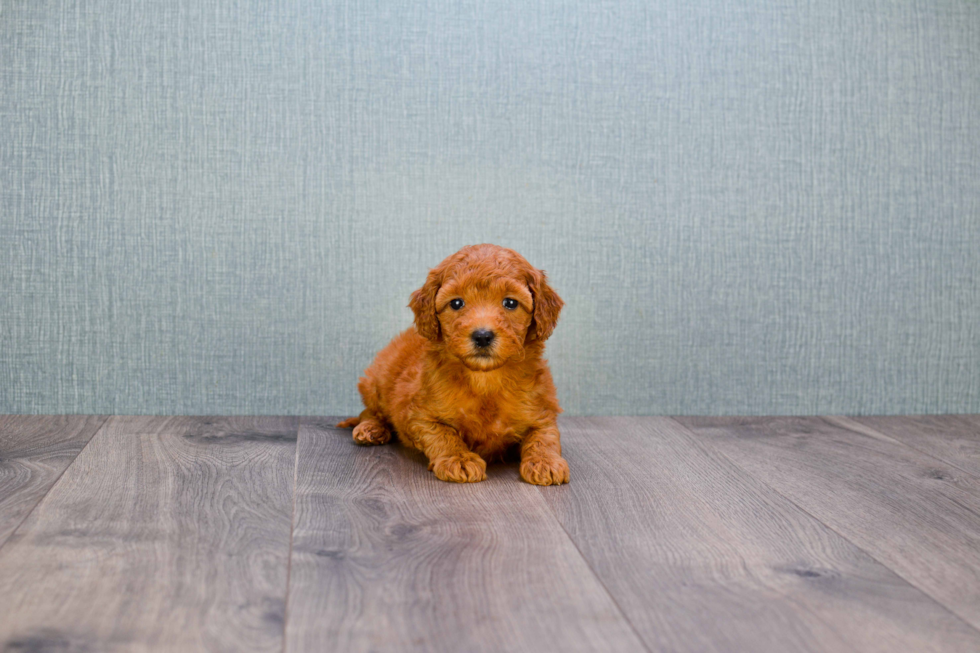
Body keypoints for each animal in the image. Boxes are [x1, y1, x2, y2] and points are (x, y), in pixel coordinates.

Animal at [336, 244, 568, 484]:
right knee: (369, 411)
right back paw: (370, 428)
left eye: (510, 303)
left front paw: (545, 462)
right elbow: (443, 434)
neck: (485, 379)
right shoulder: (419, 415)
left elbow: (545, 436)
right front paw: (460, 459)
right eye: (457, 303)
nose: (482, 336)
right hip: (374, 382)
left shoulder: (542, 410)